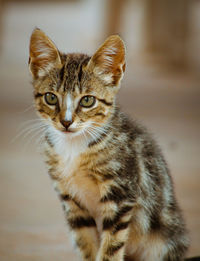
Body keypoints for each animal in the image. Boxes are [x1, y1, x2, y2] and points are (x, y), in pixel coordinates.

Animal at [28, 28, 189, 260]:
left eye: (87, 100)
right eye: (50, 97)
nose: (66, 122)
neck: (74, 147)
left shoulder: (121, 194)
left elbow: (111, 247)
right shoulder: (71, 201)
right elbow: (87, 243)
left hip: (165, 238)